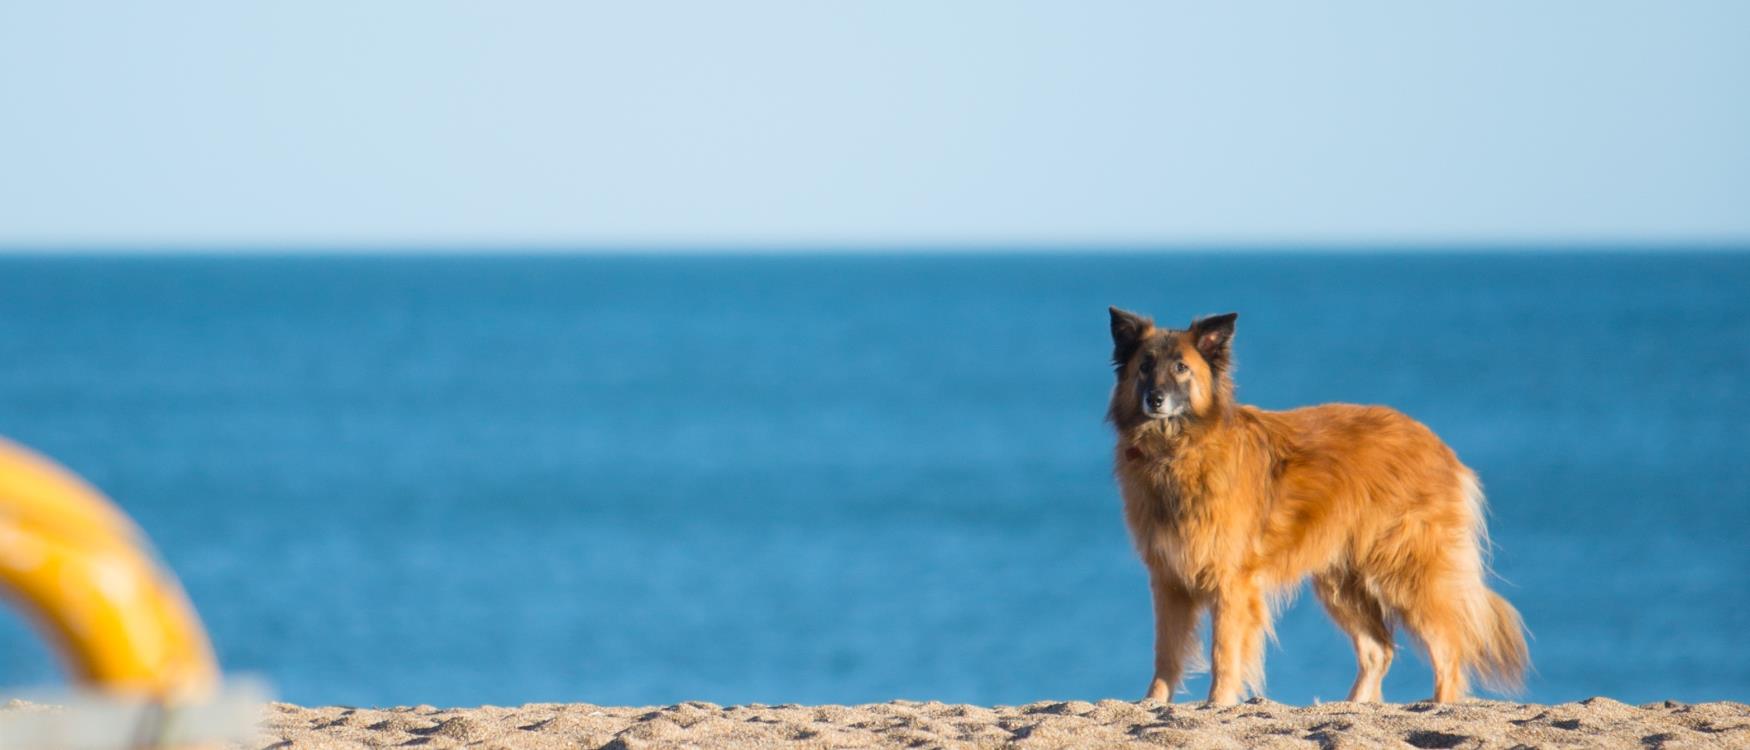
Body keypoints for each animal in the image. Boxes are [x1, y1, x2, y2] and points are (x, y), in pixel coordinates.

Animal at [1106, 307, 1533, 702]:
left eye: (1181, 367)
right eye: (1144, 366)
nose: (1155, 399)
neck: (1175, 451)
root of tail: (1437, 445)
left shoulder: (1231, 582)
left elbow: (1223, 653)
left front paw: (1218, 704)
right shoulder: (1169, 580)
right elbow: (1166, 653)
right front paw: (1153, 702)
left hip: (1408, 574)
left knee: (1449, 651)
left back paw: (1440, 705)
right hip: (1342, 582)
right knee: (1379, 650)